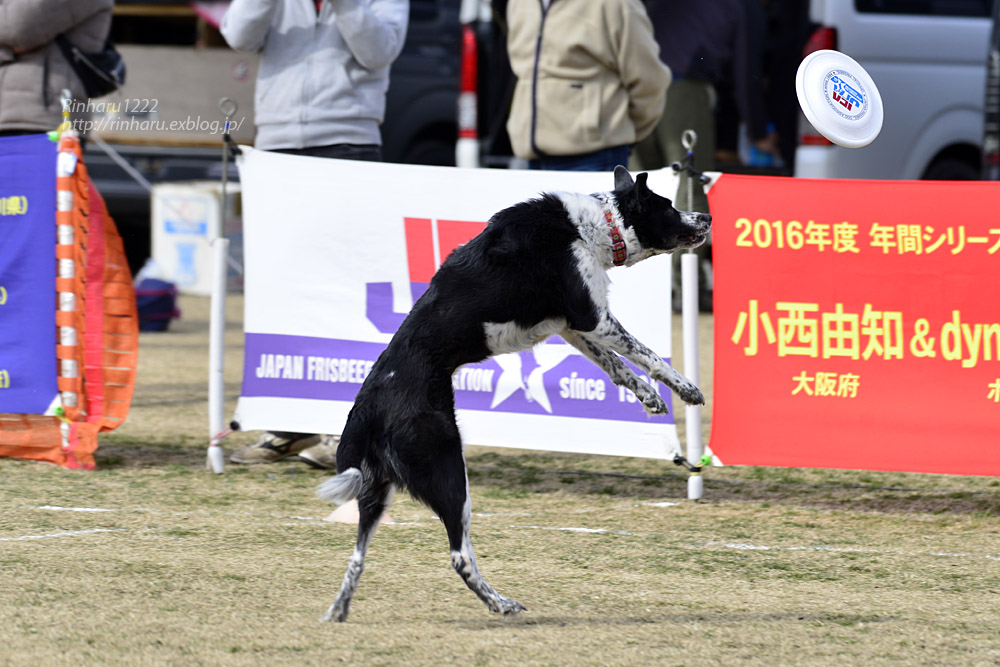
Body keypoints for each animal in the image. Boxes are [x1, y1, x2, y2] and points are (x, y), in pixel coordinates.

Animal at [318, 166, 712, 620]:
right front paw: (687, 389)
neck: (594, 225)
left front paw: (649, 397)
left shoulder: (572, 325)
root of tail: (367, 410)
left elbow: (617, 368)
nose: (707, 217)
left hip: (374, 494)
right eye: (669, 207)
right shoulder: (592, 317)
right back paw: (501, 604)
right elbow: (647, 356)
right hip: (448, 470)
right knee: (459, 555)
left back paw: (339, 611)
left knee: (358, 557)